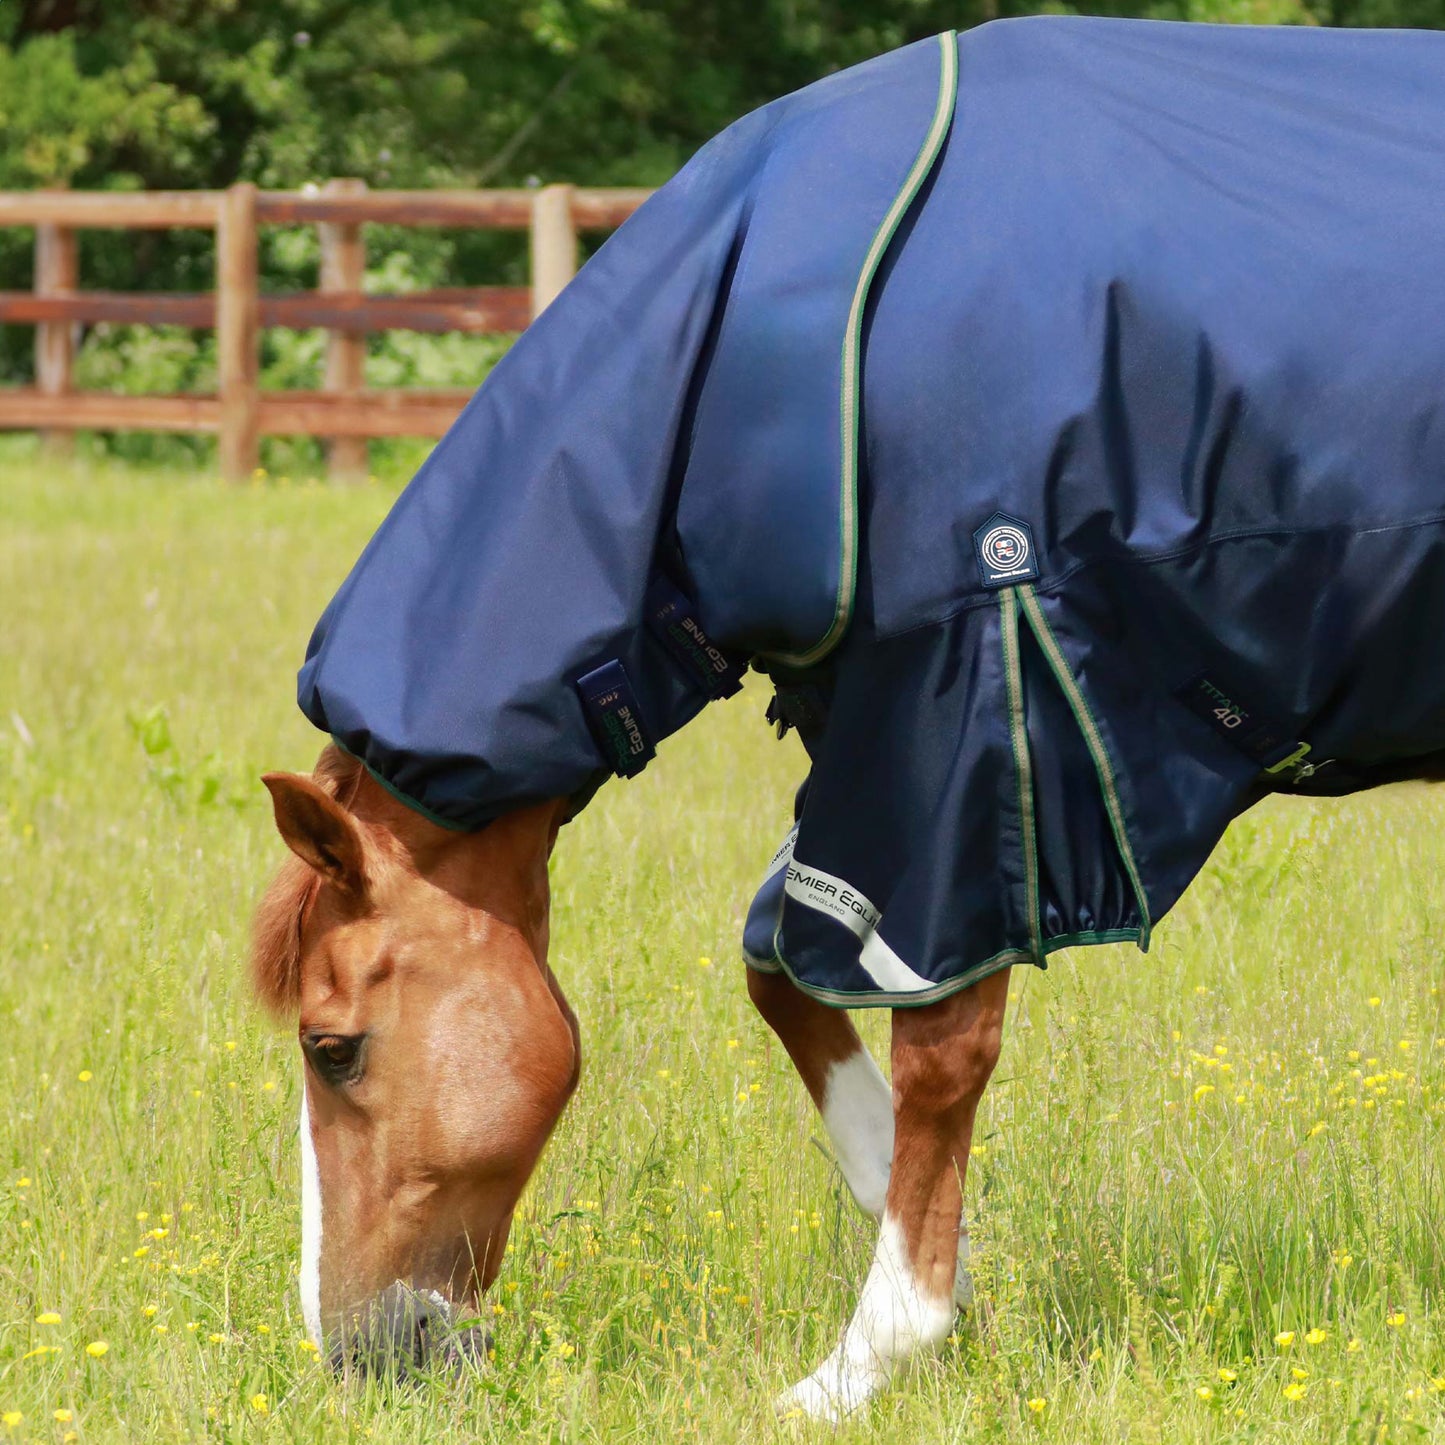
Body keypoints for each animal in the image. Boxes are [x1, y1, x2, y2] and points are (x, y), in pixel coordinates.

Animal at [252, 17, 1445, 1422]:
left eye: (332, 1046)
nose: (358, 1351)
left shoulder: (965, 744)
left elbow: (940, 1046)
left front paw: (866, 1357)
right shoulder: (873, 772)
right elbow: (781, 970)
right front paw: (951, 1262)